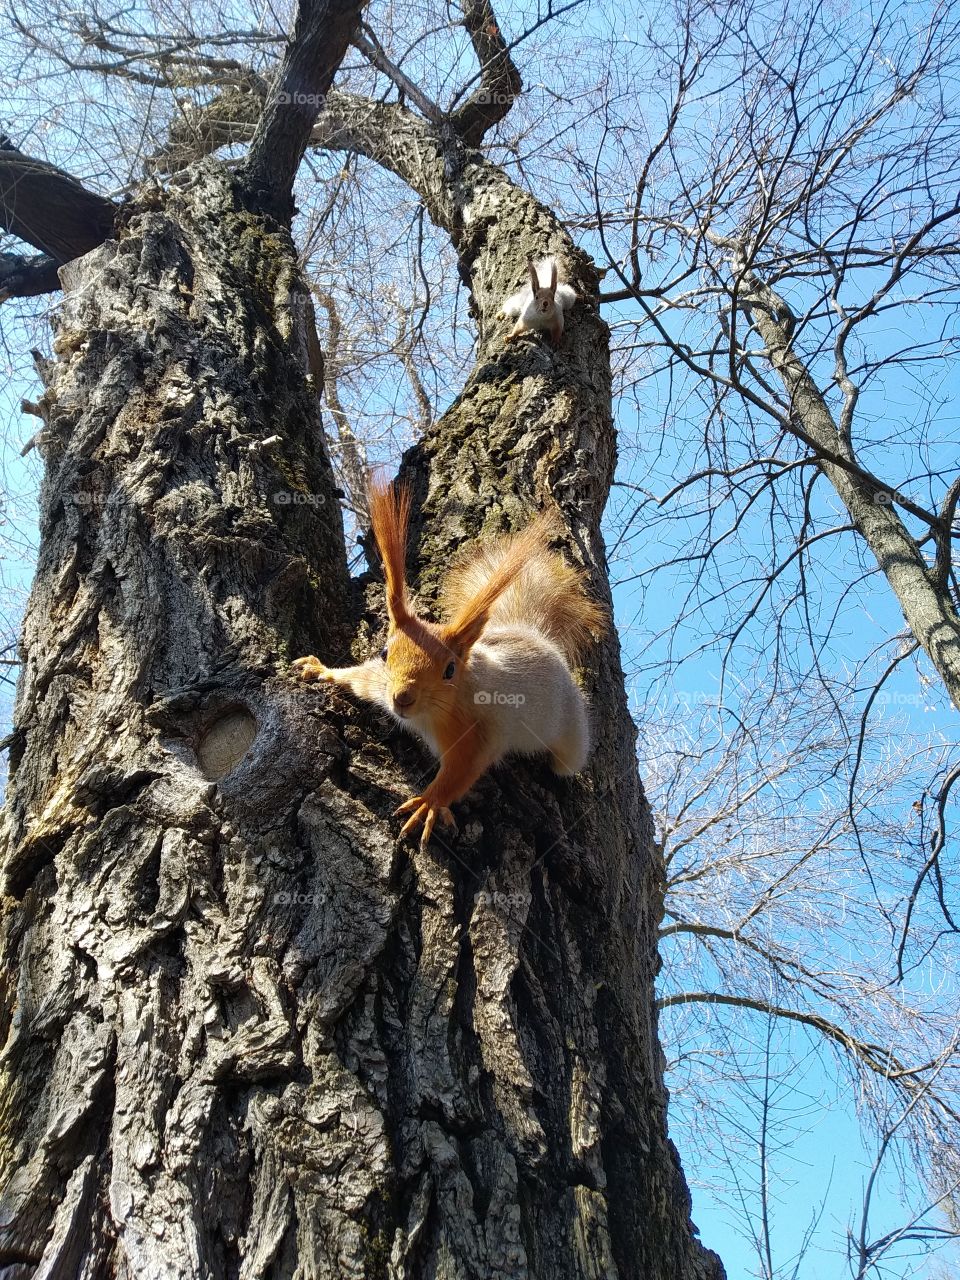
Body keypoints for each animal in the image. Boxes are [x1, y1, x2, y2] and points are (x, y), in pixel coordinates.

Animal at [292, 479, 605, 846]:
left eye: (449, 670)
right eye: (384, 653)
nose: (402, 698)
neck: (430, 714)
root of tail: (536, 636)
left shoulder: (478, 732)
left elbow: (460, 772)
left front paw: (428, 803)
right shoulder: (378, 684)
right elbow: (359, 678)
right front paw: (322, 670)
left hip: (571, 736)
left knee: (567, 762)